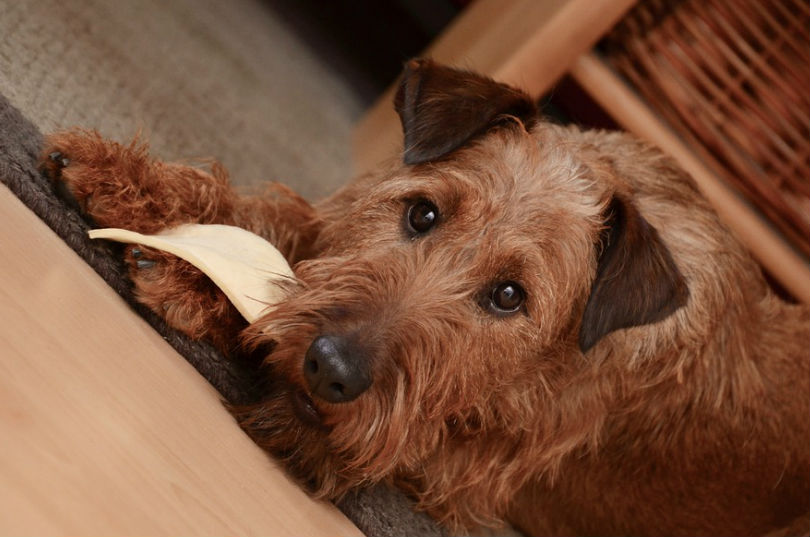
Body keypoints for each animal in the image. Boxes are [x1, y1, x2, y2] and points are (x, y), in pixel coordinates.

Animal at [41, 60, 804, 532]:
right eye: (422, 213)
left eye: (509, 295)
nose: (331, 368)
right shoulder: (333, 225)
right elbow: (280, 224)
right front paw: (136, 184)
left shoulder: (456, 471)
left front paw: (197, 278)